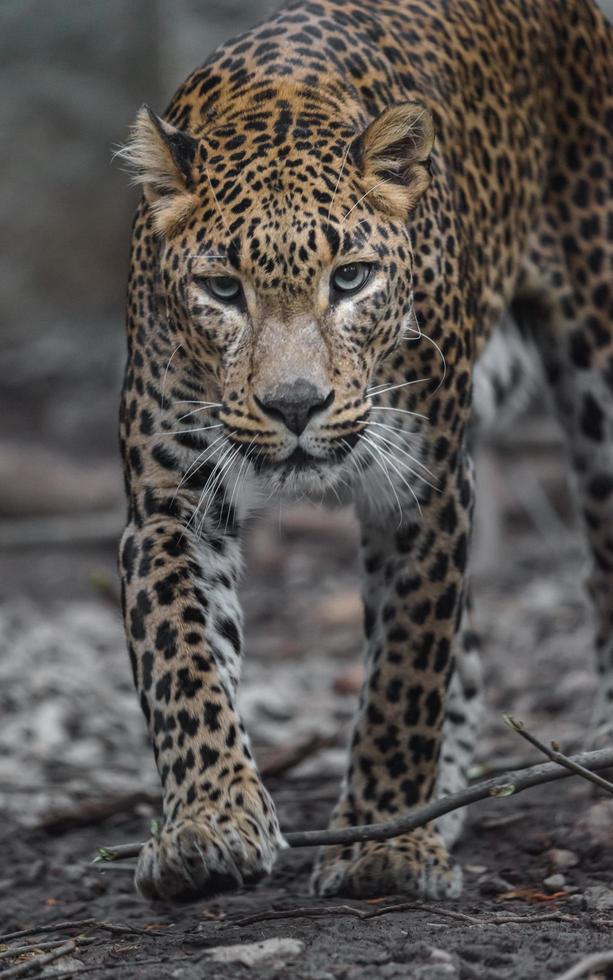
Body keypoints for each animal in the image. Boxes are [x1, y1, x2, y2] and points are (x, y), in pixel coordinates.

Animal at [118, 0, 612, 904]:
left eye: (349, 279)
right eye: (221, 290)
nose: (294, 406)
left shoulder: (424, 485)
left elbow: (406, 669)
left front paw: (383, 841)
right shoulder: (169, 498)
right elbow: (182, 660)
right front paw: (209, 822)